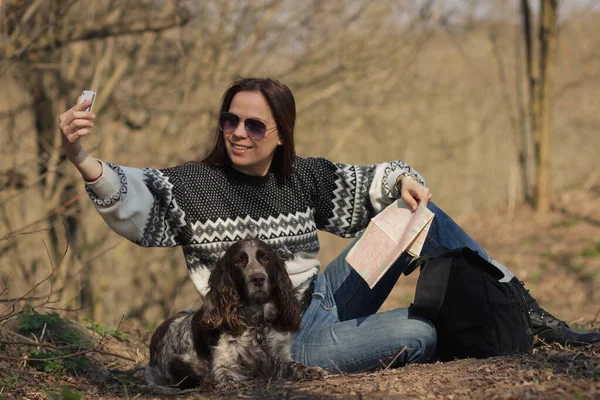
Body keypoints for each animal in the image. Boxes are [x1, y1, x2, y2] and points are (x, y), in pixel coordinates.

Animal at [144, 238, 324, 390]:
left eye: (265, 258)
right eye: (239, 261)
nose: (258, 278)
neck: (255, 323)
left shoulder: (279, 357)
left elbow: (293, 364)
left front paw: (309, 370)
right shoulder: (221, 366)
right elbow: (225, 375)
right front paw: (235, 383)